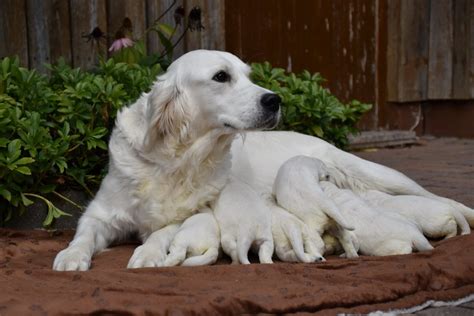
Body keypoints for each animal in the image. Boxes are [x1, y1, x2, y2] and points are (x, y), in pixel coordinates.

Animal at [54, 50, 474, 272]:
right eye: (220, 76)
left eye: (248, 75)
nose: (275, 99)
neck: (175, 158)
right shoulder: (100, 213)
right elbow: (83, 234)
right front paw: (71, 256)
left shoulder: (190, 214)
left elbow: (161, 230)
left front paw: (148, 252)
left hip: (381, 175)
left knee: (444, 199)